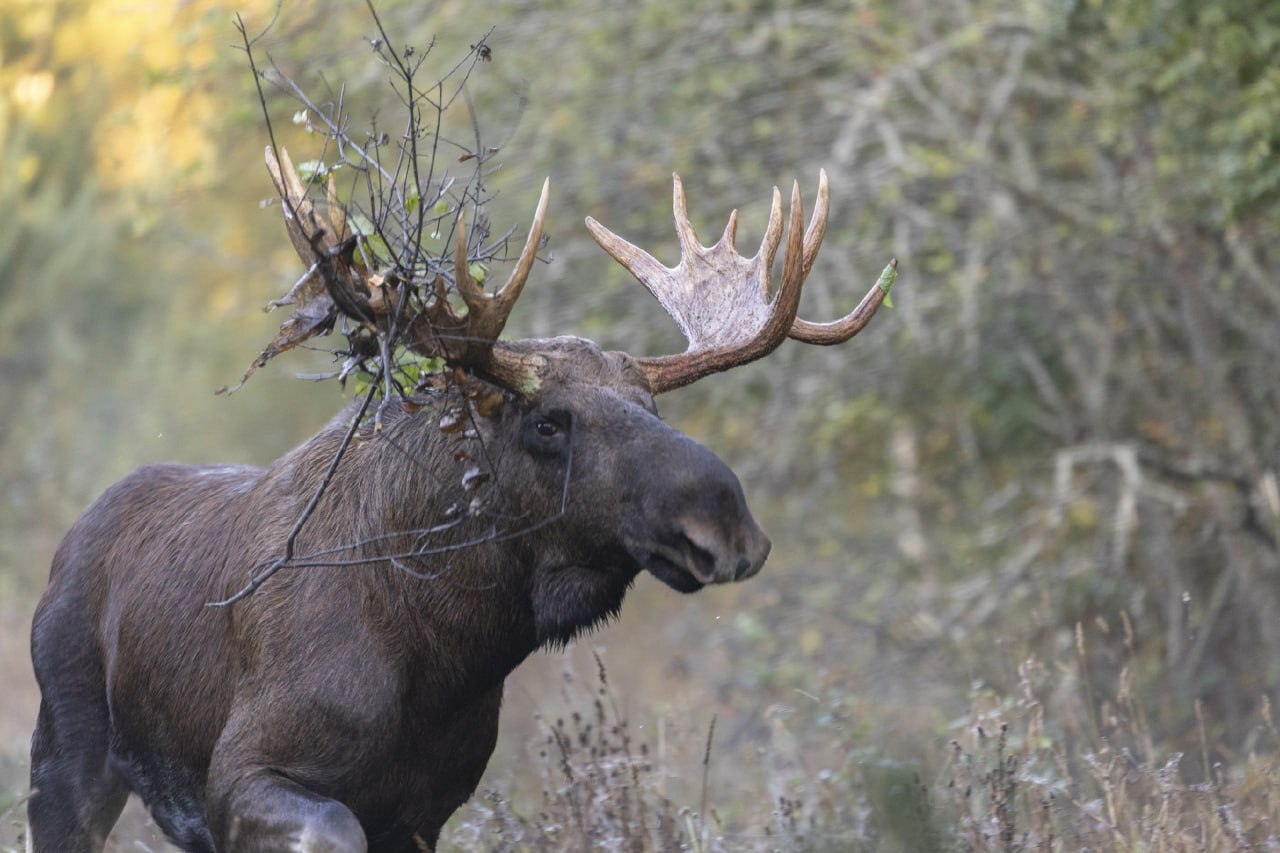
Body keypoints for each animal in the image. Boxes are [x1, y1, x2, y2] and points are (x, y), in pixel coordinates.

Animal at [27, 147, 890, 850]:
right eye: (548, 420)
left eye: (652, 406)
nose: (725, 522)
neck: (445, 650)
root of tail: (66, 547)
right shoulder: (244, 769)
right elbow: (330, 827)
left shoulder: (427, 810)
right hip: (66, 748)